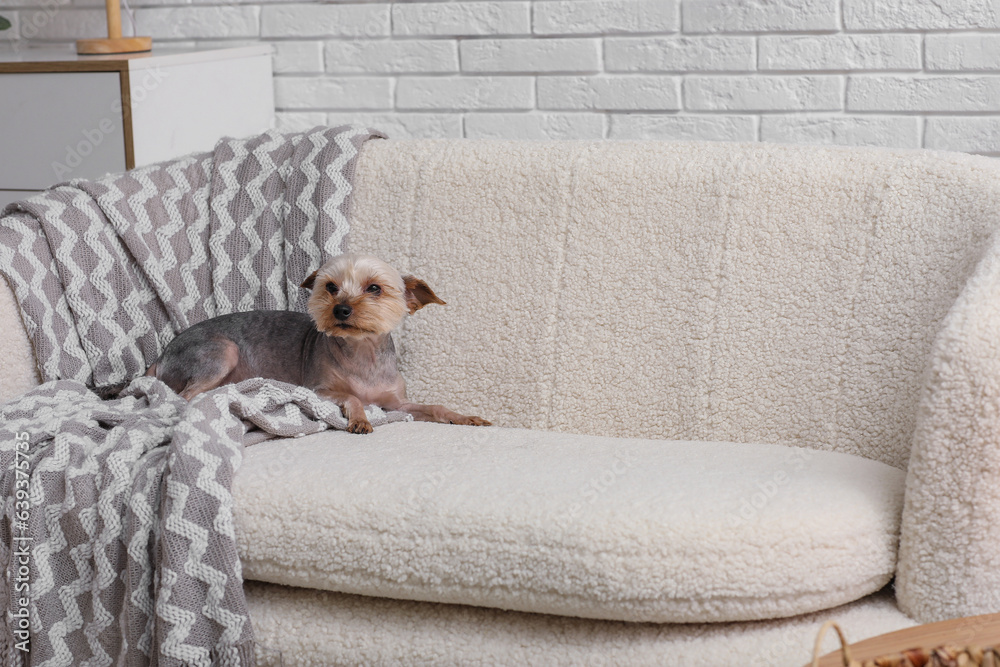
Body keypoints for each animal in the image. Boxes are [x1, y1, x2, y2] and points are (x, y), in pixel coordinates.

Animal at [146, 254, 490, 434]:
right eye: (331, 287)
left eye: (374, 288)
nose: (341, 309)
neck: (362, 353)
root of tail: (161, 356)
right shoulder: (318, 390)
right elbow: (351, 397)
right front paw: (360, 419)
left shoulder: (397, 404)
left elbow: (433, 407)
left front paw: (465, 417)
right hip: (221, 352)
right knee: (183, 396)